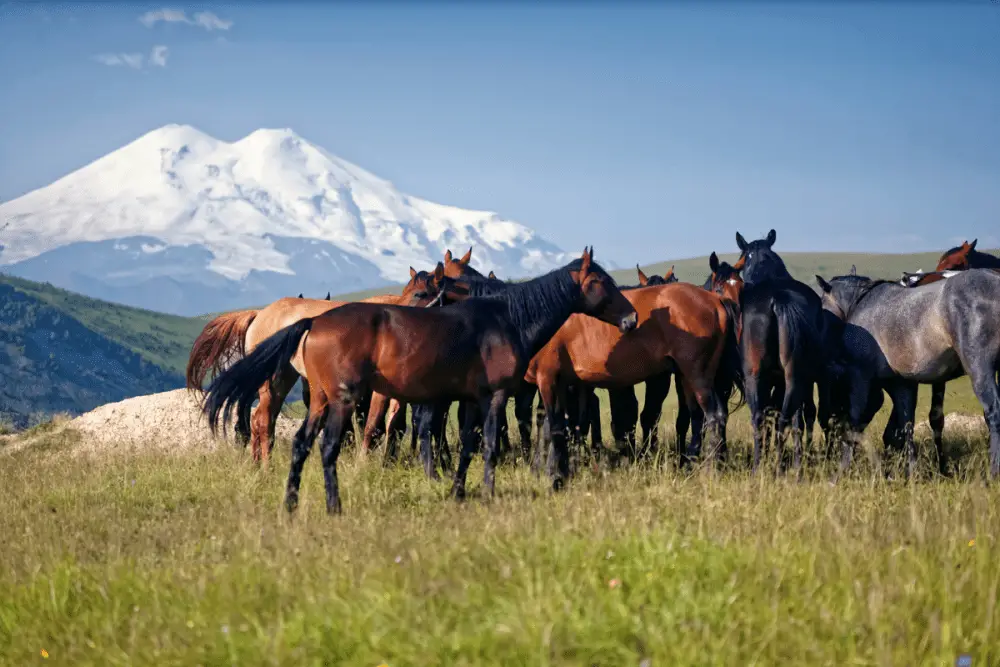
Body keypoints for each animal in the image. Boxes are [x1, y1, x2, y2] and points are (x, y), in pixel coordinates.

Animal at [200, 248, 636, 516]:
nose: (631, 318)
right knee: (324, 447)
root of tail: (312, 321)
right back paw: (333, 506)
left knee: (300, 444)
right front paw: (489, 492)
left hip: (321, 401)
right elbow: (489, 445)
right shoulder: (494, 397)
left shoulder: (470, 399)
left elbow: (466, 447)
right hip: (338, 401)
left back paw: (290, 503)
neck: (505, 318)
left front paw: (459, 490)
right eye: (600, 281)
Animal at [736, 232, 836, 478]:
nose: (746, 285)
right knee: (783, 417)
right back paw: (781, 468)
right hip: (792, 378)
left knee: (762, 417)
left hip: (756, 376)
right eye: (745, 260)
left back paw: (762, 467)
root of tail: (777, 298)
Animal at [816, 266, 1000, 480]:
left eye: (822, 303)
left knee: (993, 412)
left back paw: (993, 472)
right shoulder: (903, 384)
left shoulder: (862, 379)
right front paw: (910, 472)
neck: (861, 304)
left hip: (980, 370)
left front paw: (840, 471)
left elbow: (855, 421)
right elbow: (906, 423)